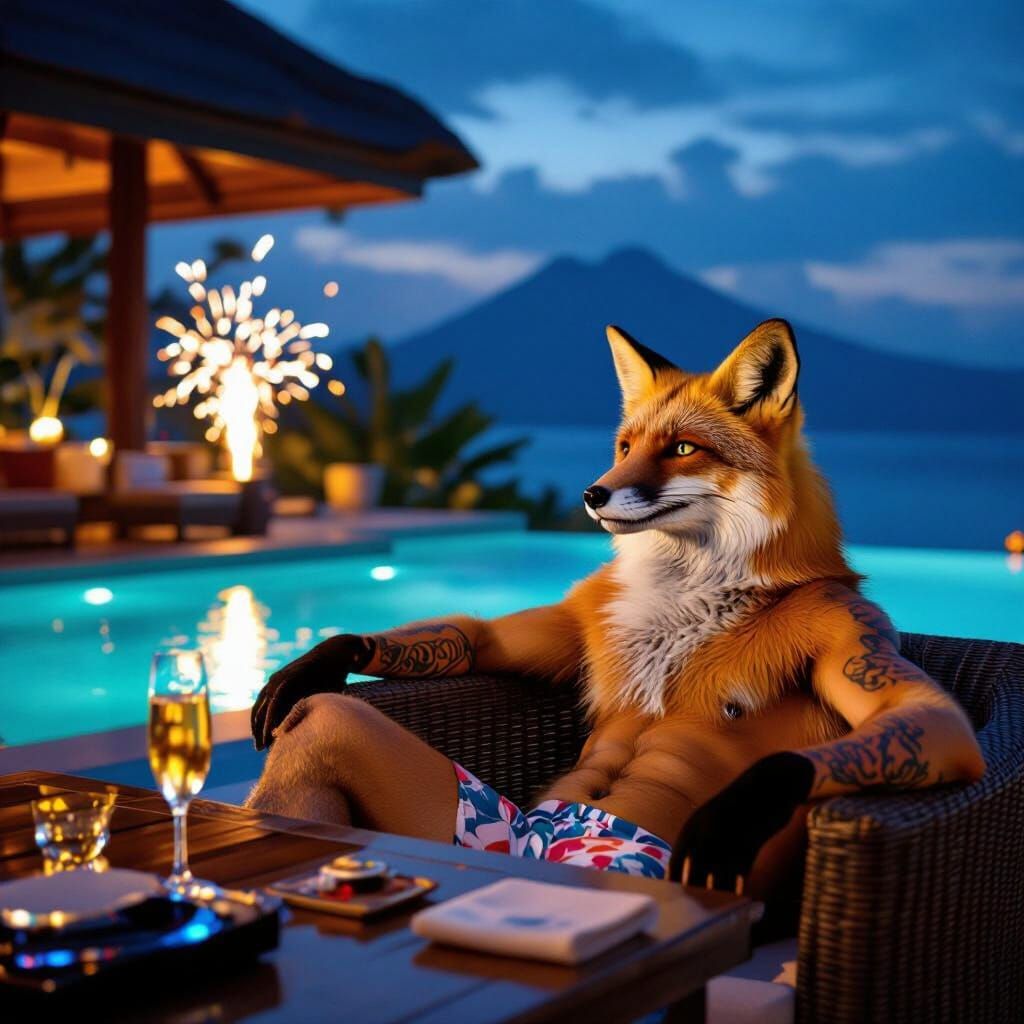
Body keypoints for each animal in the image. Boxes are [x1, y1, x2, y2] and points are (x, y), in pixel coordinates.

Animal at [248, 319, 984, 896]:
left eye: (683, 447)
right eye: (626, 445)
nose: (593, 493)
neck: (686, 594)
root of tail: (544, 837)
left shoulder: (851, 630)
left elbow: (922, 714)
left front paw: (745, 807)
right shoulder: (581, 612)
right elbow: (477, 636)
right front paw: (319, 659)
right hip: (481, 821)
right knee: (324, 716)